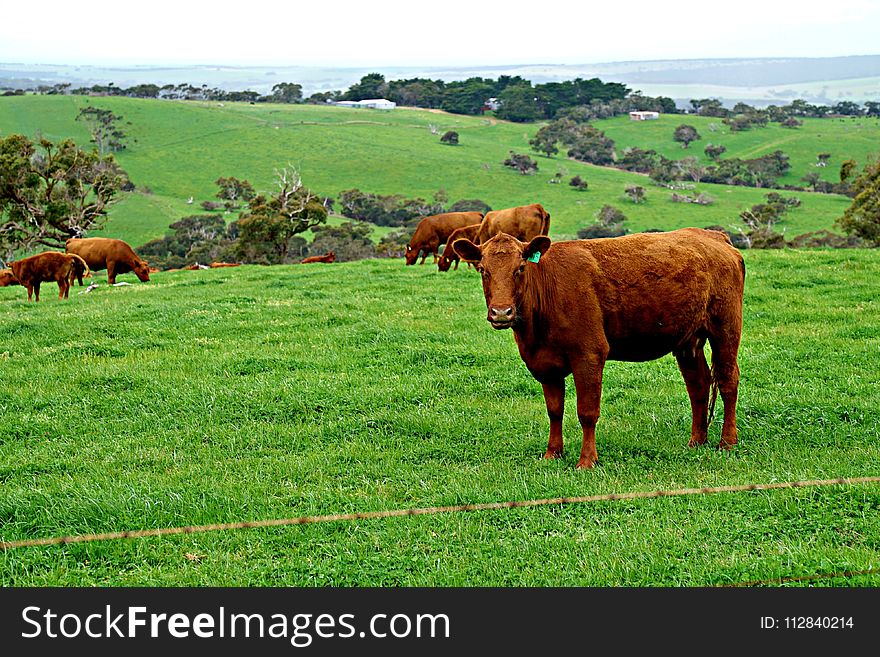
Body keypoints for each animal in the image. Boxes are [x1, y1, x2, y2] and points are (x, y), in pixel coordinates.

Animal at [454, 228, 744, 468]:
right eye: (483, 269)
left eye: (521, 268)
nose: (501, 312)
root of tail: (714, 236)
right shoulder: (545, 364)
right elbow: (554, 411)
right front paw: (552, 453)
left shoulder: (589, 353)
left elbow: (587, 412)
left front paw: (586, 460)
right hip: (688, 340)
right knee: (699, 385)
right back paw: (697, 440)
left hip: (726, 328)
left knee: (728, 381)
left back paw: (727, 442)